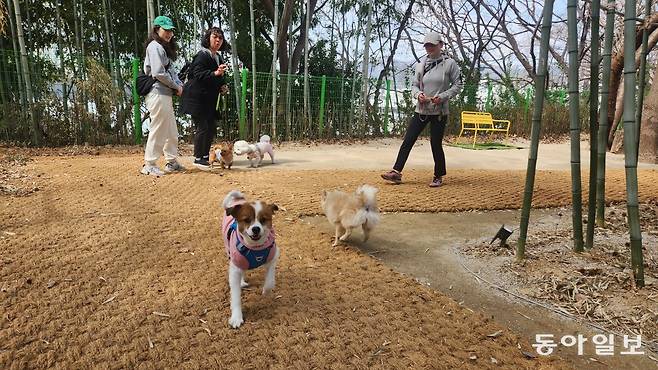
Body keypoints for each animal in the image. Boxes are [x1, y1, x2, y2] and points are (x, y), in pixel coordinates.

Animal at [220, 189, 276, 328]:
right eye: (246, 220)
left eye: (263, 220)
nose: (255, 228)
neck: (255, 248)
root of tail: (238, 199)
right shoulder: (235, 269)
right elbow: (235, 296)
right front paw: (236, 317)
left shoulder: (272, 258)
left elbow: (270, 280)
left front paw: (266, 291)